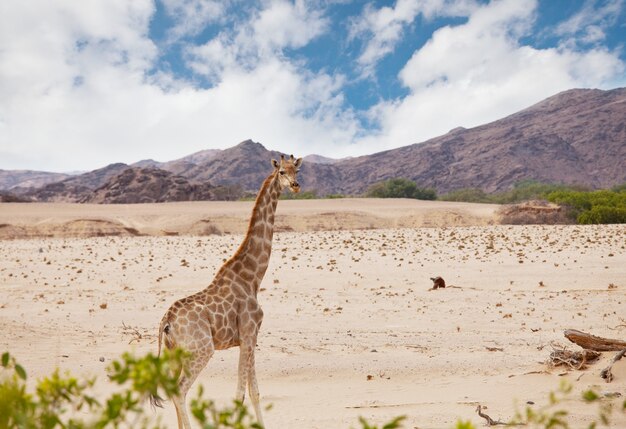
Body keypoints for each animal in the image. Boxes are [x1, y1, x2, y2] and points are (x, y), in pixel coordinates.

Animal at [149, 154, 300, 428]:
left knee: (172, 389)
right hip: (202, 350)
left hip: (174, 353)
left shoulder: (250, 337)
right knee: (180, 390)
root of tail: (166, 321)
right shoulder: (249, 332)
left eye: (297, 169)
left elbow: (255, 392)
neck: (253, 277)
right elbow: (240, 394)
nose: (295, 185)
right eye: (282, 172)